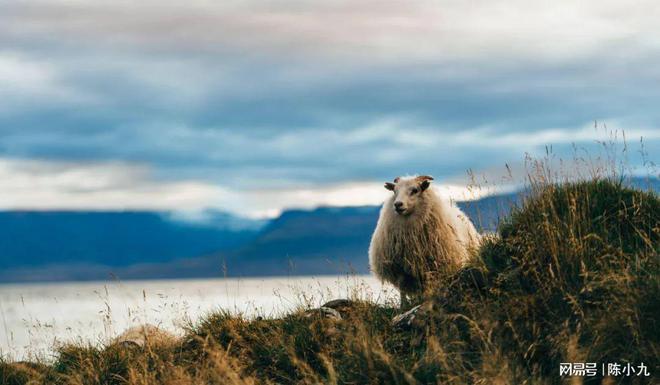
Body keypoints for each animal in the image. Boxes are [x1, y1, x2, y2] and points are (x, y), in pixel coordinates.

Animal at [368, 176, 482, 304]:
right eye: (395, 191)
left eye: (415, 190)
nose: (397, 204)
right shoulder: (399, 268)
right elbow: (402, 290)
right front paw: (403, 305)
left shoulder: (430, 266)